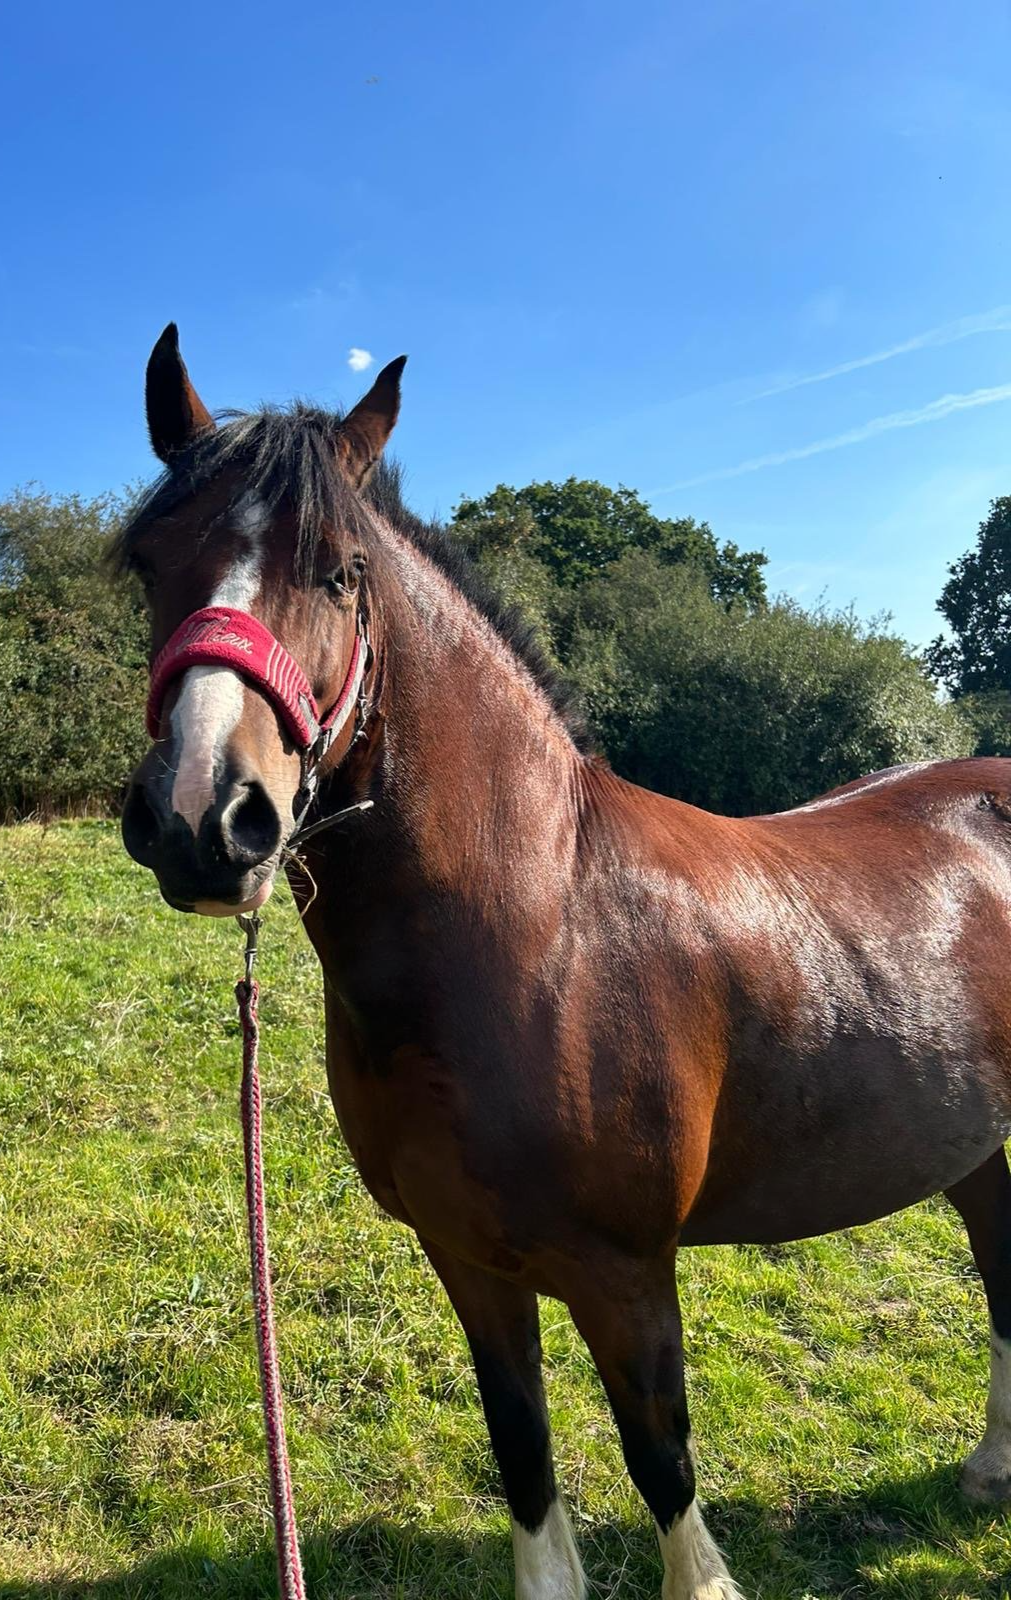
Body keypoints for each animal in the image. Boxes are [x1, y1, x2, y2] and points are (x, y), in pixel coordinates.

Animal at [118, 324, 1011, 1600]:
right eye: (148, 564)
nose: (204, 815)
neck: (536, 931)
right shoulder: (468, 1261)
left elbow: (661, 1461)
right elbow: (523, 1448)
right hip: (972, 1138)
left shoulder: (627, 1276)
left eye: (340, 572)